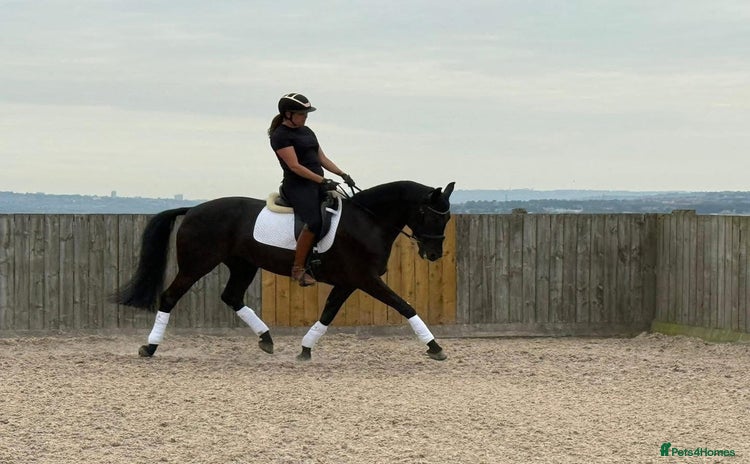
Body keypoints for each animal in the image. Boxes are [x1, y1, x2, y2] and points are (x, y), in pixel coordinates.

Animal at [113, 180, 455, 361]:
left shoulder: (349, 282)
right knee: (170, 297)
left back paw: (266, 339)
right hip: (197, 264)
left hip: (243, 265)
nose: (434, 254)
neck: (367, 222)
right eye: (430, 215)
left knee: (232, 297)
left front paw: (305, 348)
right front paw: (435, 347)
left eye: (447, 218)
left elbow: (328, 313)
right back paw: (150, 346)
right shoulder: (365, 279)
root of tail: (195, 209)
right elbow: (405, 306)